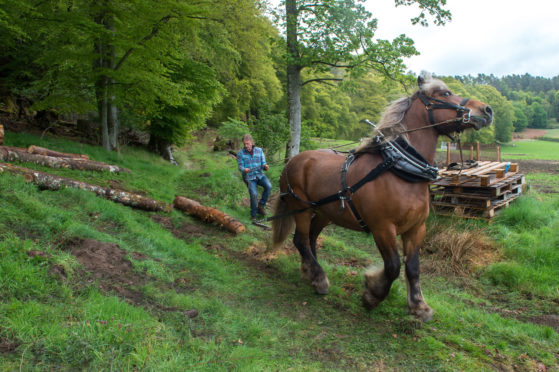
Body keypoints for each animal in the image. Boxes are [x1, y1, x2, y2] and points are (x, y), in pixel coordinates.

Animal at [272, 72, 494, 320]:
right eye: (445, 93)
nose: (487, 110)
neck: (400, 170)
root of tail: (293, 160)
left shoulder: (416, 228)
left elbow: (413, 267)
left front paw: (419, 305)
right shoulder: (382, 228)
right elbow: (393, 266)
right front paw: (372, 293)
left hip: (324, 212)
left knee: (310, 239)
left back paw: (310, 272)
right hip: (300, 207)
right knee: (300, 240)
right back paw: (319, 278)